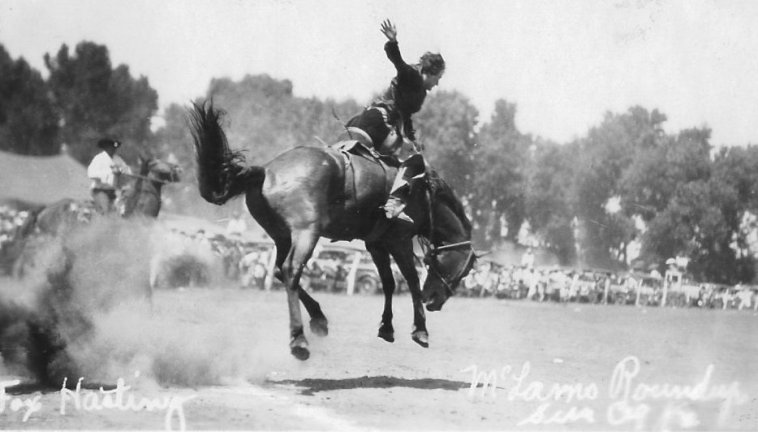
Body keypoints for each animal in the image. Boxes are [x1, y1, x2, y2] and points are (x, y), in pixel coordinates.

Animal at [190, 102, 476, 362]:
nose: (435, 300)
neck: (423, 195)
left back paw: (319, 319)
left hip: (282, 236)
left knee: (279, 269)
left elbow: (388, 282)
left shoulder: (375, 243)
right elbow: (411, 280)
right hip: (306, 233)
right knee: (291, 270)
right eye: (466, 270)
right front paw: (420, 331)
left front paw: (387, 328)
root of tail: (266, 171)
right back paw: (299, 340)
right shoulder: (399, 240)